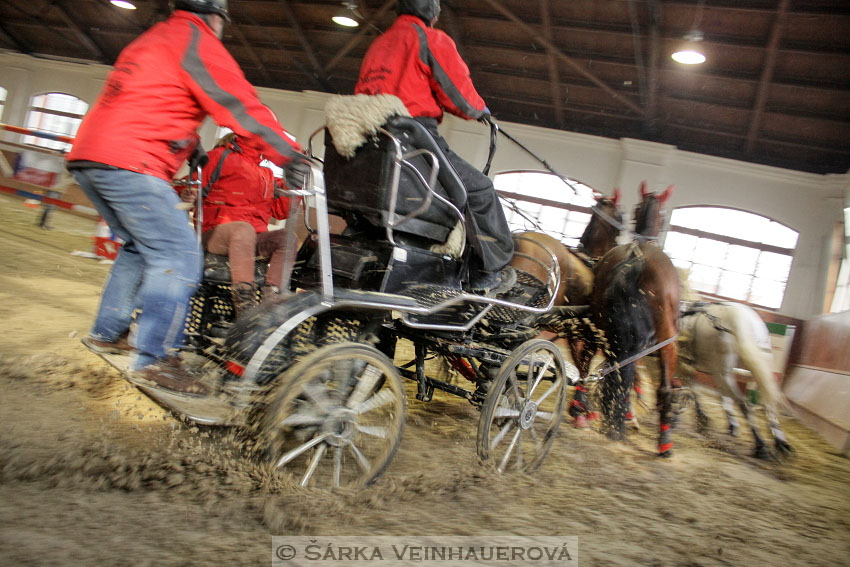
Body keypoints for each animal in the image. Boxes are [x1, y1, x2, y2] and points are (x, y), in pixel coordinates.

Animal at [672, 304, 792, 460]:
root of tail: (744, 321)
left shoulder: (686, 364)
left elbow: (692, 387)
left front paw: (702, 419)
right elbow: (720, 396)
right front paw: (730, 425)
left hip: (723, 372)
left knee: (744, 403)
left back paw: (761, 446)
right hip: (757, 367)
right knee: (768, 404)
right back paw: (781, 443)